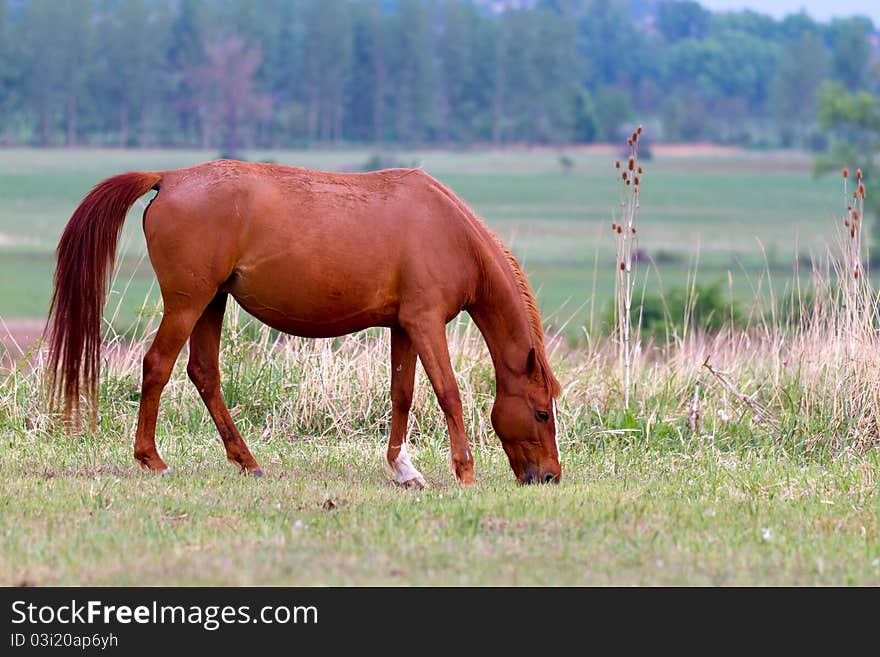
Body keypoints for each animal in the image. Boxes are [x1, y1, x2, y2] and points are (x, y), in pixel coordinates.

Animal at [44, 161, 560, 484]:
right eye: (541, 412)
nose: (550, 477)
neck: (448, 230)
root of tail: (168, 179)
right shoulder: (426, 322)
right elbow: (448, 393)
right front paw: (464, 470)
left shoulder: (404, 327)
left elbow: (403, 394)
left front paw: (403, 469)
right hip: (187, 304)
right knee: (157, 366)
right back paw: (153, 460)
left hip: (211, 302)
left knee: (203, 373)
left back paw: (247, 461)